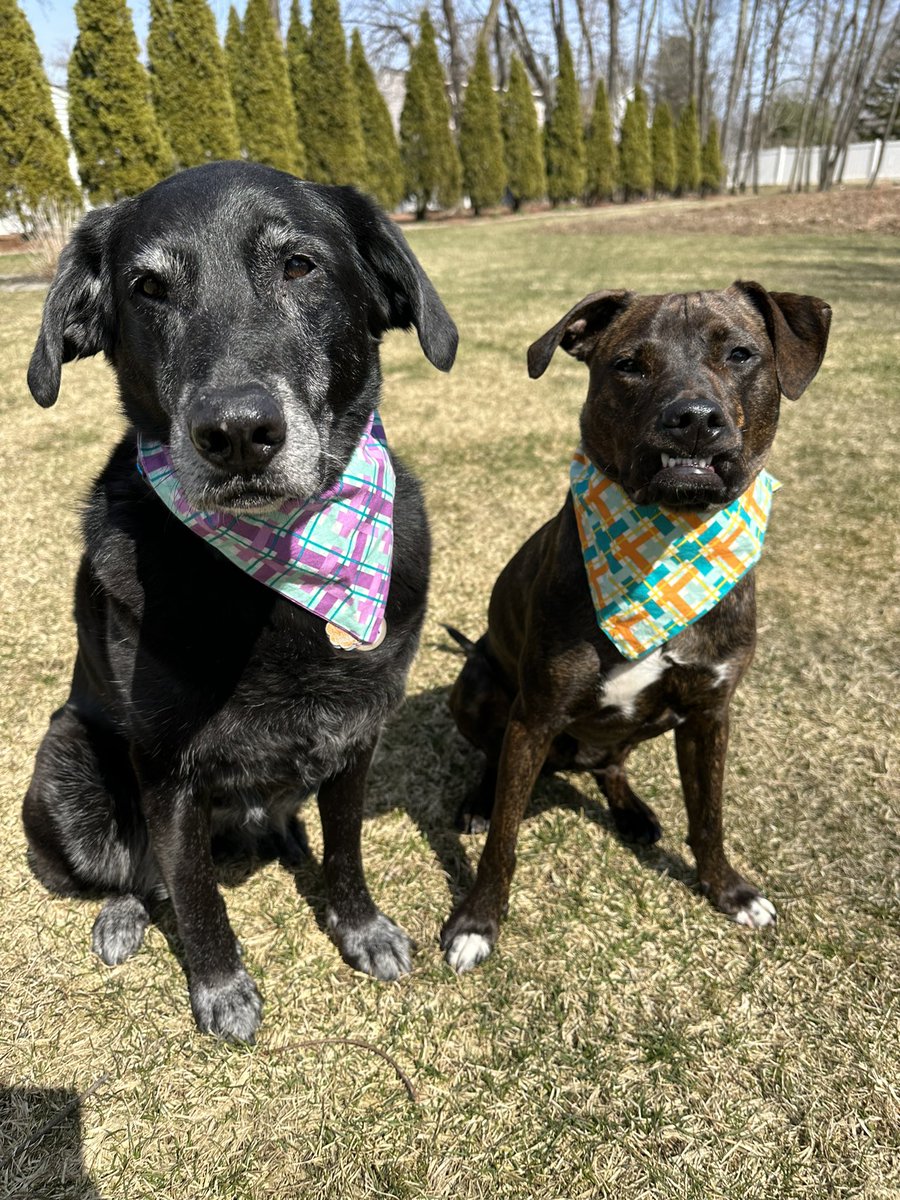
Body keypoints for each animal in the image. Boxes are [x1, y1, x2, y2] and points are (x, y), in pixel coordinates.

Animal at [22, 159, 458, 1041]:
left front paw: (358, 925)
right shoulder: (165, 770)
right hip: (67, 759)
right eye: (147, 287)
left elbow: (347, 847)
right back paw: (123, 913)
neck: (274, 579)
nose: (236, 433)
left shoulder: (359, 734)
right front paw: (221, 986)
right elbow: (191, 890)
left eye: (300, 265)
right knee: (136, 869)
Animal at [441, 283, 830, 974]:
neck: (669, 543)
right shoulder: (534, 716)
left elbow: (708, 816)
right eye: (628, 365)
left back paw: (633, 812)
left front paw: (728, 890)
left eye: (740, 353)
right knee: (494, 758)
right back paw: (477, 803)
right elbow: (506, 839)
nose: (694, 417)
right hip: (480, 689)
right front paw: (477, 923)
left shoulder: (709, 712)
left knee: (611, 763)